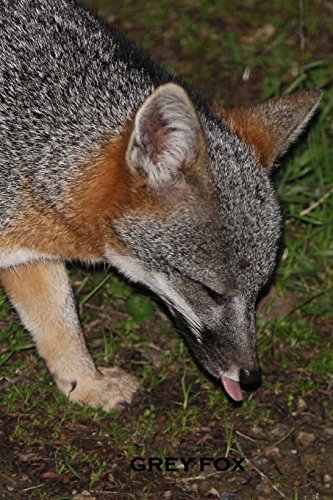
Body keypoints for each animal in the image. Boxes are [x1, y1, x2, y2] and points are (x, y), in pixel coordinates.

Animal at [0, 0, 320, 408]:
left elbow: (60, 321)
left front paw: (86, 384)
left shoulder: (27, 253)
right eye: (210, 292)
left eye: (260, 292)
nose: (250, 376)